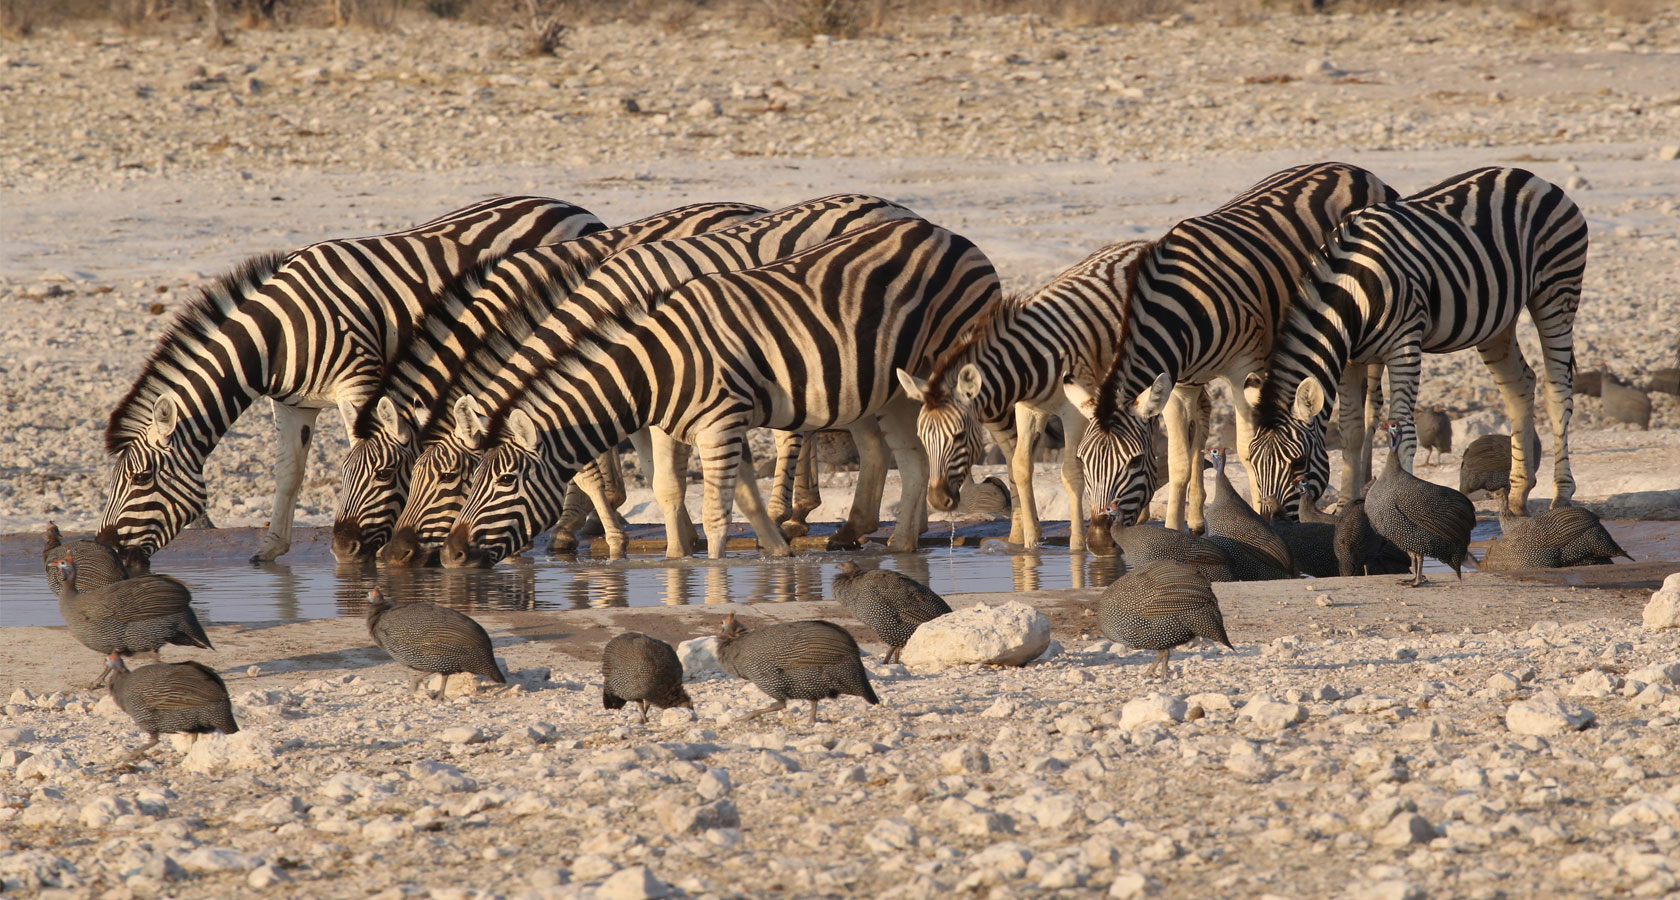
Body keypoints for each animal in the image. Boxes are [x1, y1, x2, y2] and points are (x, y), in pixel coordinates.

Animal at [98, 197, 603, 567]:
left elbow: (371, 451)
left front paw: (375, 541)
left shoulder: (358, 380)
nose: (104, 548)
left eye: (140, 478)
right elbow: (289, 472)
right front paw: (271, 548)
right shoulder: (293, 402)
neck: (276, 335)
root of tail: (571, 206)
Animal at [441, 217, 1002, 567]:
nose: (452, 554)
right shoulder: (694, 427)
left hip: (952, 365)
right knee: (912, 458)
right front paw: (741, 557)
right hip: (895, 390)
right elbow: (695, 493)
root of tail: (945, 231)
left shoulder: (720, 424)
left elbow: (718, 510)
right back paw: (903, 544)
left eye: (504, 482)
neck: (653, 370)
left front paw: (713, 575)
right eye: (469, 481)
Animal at [896, 239, 1153, 552]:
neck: (1029, 361)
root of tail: (1139, 242)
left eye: (958, 436)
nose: (937, 501)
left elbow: (1071, 472)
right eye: (921, 437)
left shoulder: (1074, 412)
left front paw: (1077, 544)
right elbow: (1020, 468)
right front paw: (1030, 544)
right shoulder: (1027, 408)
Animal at [1069, 162, 1399, 534]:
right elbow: (1179, 462)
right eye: (1083, 460)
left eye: (1135, 461)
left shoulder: (1244, 368)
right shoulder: (1178, 384)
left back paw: (1360, 490)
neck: (1184, 306)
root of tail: (1355, 169)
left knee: (1369, 409)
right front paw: (1173, 531)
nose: (1098, 537)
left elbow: (1245, 448)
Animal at [1245, 167, 1586, 520]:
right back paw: (1519, 493)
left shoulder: (1404, 346)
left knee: (1558, 392)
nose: (1269, 519)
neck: (1350, 289)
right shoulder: (1350, 358)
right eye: (1251, 461)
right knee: (1520, 385)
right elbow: (1351, 432)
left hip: (1557, 290)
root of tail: (1529, 176)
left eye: (1298, 463)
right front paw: (1343, 509)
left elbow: (1405, 432)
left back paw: (1562, 495)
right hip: (1497, 322)